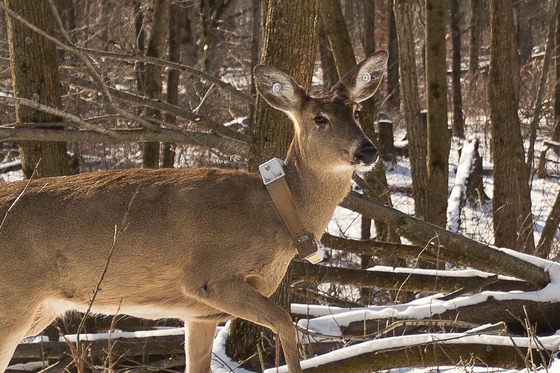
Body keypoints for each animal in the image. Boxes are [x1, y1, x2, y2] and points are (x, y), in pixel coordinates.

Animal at [0, 51, 384, 372]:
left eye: (355, 112)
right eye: (319, 118)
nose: (368, 151)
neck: (276, 212)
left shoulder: (200, 314)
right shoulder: (210, 278)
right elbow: (286, 323)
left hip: (40, 309)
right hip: (12, 302)